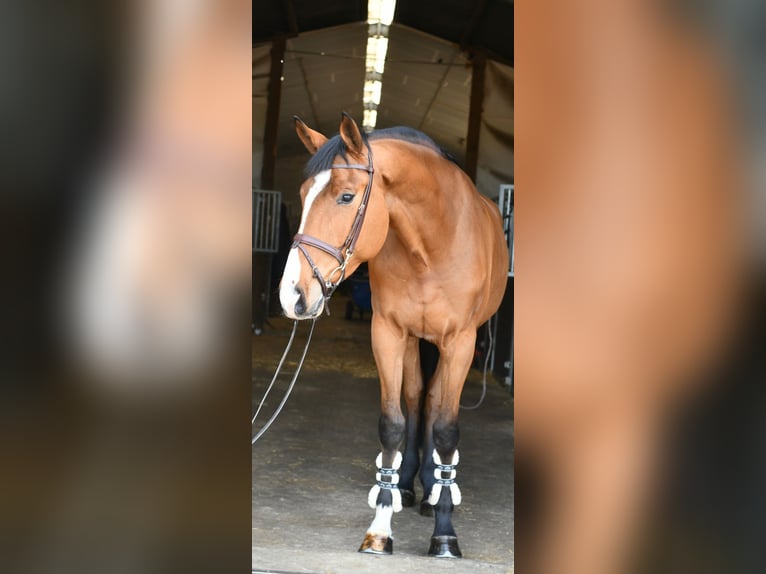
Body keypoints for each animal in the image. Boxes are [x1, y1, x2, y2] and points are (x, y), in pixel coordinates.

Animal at [279, 113, 509, 557]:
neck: (431, 245)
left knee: (434, 404)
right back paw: (409, 484)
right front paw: (381, 527)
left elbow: (446, 430)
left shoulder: (460, 342)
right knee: (418, 398)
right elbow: (393, 423)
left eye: (346, 196)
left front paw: (445, 534)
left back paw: (434, 490)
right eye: (302, 194)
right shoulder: (388, 333)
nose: (293, 294)